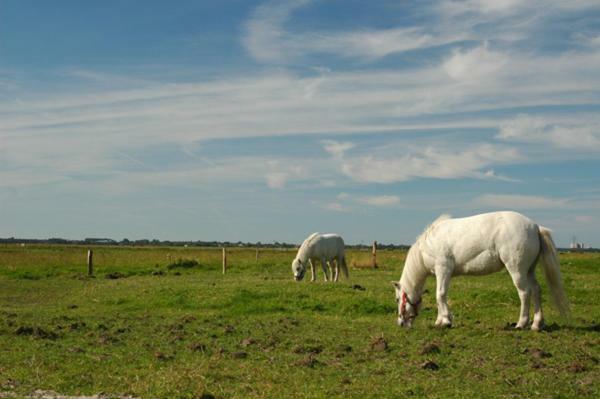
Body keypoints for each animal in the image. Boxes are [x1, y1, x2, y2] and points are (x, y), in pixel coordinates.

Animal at [392, 212, 568, 332]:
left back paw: (521, 323)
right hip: (529, 270)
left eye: (397, 299)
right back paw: (537, 324)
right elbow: (440, 297)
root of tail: (536, 227)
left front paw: (445, 321)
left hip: (517, 270)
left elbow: (440, 295)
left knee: (525, 293)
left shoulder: (443, 269)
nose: (401, 323)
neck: (429, 244)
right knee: (537, 290)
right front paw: (440, 321)